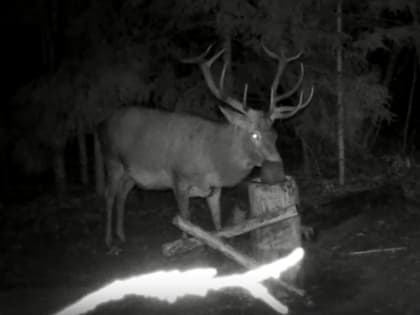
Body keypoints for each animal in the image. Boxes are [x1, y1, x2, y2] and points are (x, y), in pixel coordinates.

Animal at [100, 43, 314, 249]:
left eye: (275, 134)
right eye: (255, 134)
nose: (278, 169)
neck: (213, 160)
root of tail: (105, 121)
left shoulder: (214, 189)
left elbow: (218, 224)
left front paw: (223, 247)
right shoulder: (178, 179)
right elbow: (185, 220)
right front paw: (184, 246)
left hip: (130, 174)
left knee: (122, 195)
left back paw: (121, 235)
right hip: (112, 160)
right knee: (109, 195)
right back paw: (109, 240)